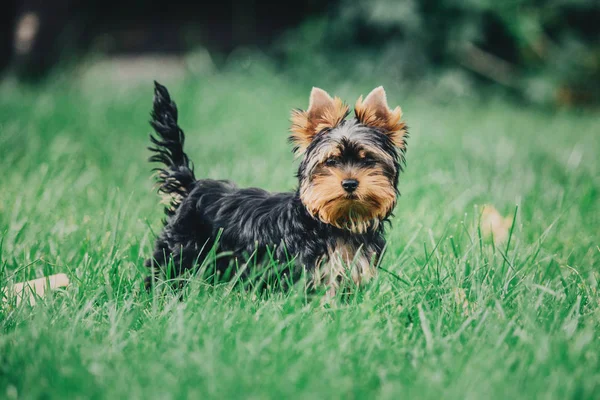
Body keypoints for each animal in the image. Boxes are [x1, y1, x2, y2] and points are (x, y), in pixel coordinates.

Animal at [145, 81, 408, 294]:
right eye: (331, 161)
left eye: (368, 160)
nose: (350, 183)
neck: (335, 224)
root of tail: (192, 186)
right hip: (182, 246)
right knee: (168, 270)